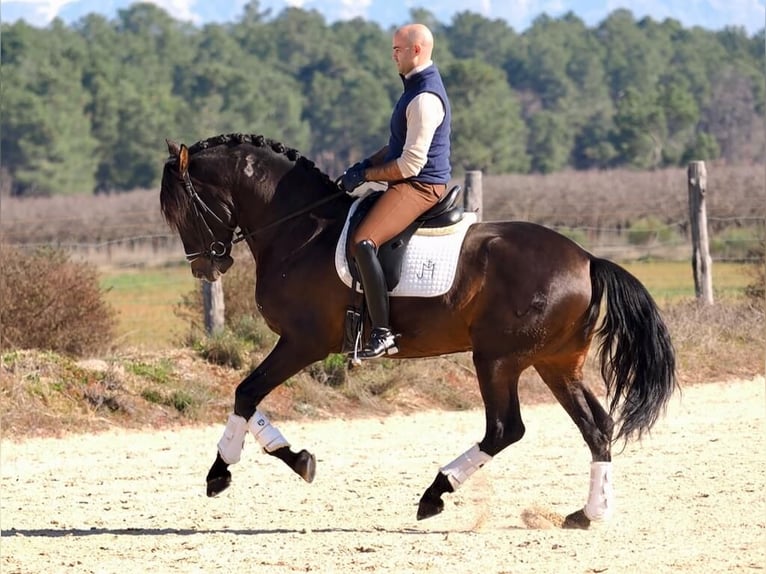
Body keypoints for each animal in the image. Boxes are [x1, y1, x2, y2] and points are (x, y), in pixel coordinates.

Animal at [162, 135, 680, 532]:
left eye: (182, 210)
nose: (206, 268)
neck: (302, 230)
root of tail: (587, 259)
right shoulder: (299, 345)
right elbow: (248, 397)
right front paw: (289, 458)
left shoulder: (303, 342)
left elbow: (246, 393)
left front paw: (225, 471)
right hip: (555, 363)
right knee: (597, 426)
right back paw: (589, 513)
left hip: (497, 359)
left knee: (505, 429)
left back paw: (435, 493)